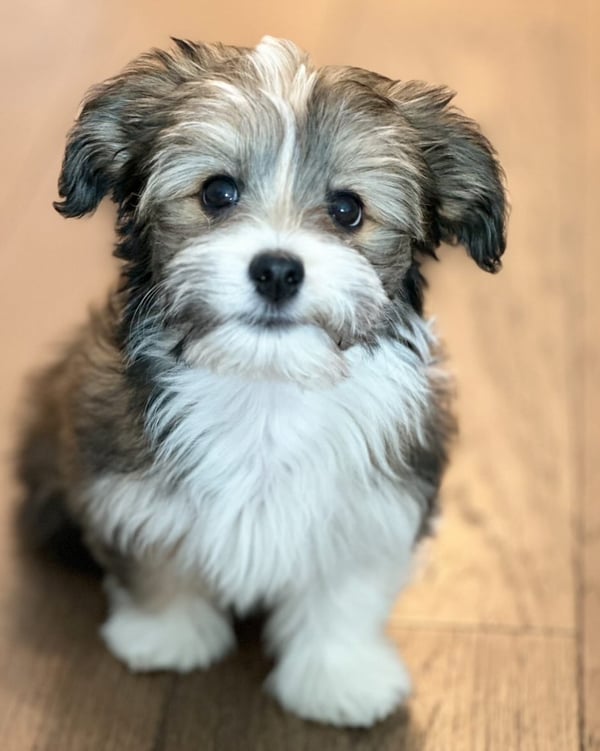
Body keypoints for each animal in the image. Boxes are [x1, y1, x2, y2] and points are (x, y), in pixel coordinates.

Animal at [17, 36, 506, 728]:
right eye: (217, 193)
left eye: (347, 210)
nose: (276, 269)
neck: (266, 383)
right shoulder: (123, 481)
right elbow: (155, 563)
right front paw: (165, 636)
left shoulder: (376, 505)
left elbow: (344, 595)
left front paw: (340, 678)